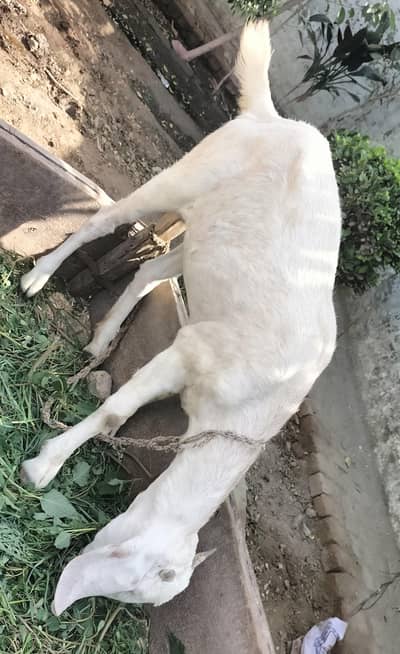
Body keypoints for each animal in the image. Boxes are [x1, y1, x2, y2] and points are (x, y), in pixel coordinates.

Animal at [20, 21, 341, 614]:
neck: (256, 405)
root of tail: (272, 118)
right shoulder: (189, 354)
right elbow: (114, 414)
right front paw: (42, 467)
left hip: (207, 230)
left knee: (156, 266)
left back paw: (101, 339)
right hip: (188, 174)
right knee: (107, 218)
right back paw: (39, 276)